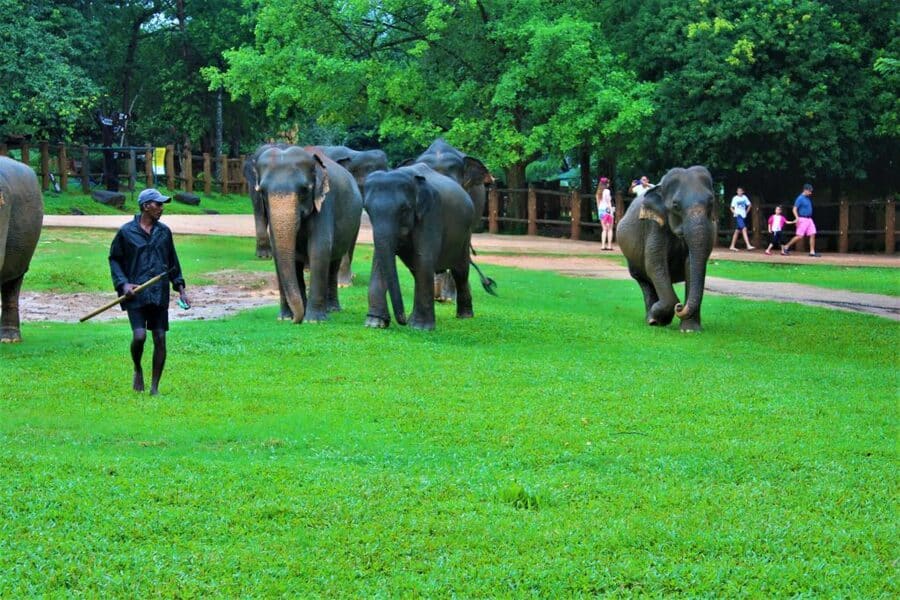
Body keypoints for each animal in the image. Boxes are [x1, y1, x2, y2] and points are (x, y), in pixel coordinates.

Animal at [252, 145, 363, 323]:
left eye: (304, 190)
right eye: (262, 191)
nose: (296, 320)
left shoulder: (325, 203)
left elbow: (319, 249)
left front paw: (314, 321)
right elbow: (279, 254)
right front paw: (284, 318)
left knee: (334, 264)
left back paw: (332, 309)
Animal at [363, 164, 475, 331]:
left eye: (404, 209)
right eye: (367, 210)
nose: (402, 320)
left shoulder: (432, 213)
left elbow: (424, 258)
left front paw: (419, 328)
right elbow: (379, 260)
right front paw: (375, 323)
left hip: (465, 235)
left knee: (460, 271)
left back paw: (465, 316)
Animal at [615, 165, 716, 332]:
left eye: (711, 202)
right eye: (675, 205)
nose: (680, 306)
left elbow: (690, 264)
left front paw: (690, 330)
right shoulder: (654, 225)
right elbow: (655, 264)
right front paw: (660, 316)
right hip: (633, 261)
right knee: (644, 280)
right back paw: (652, 320)